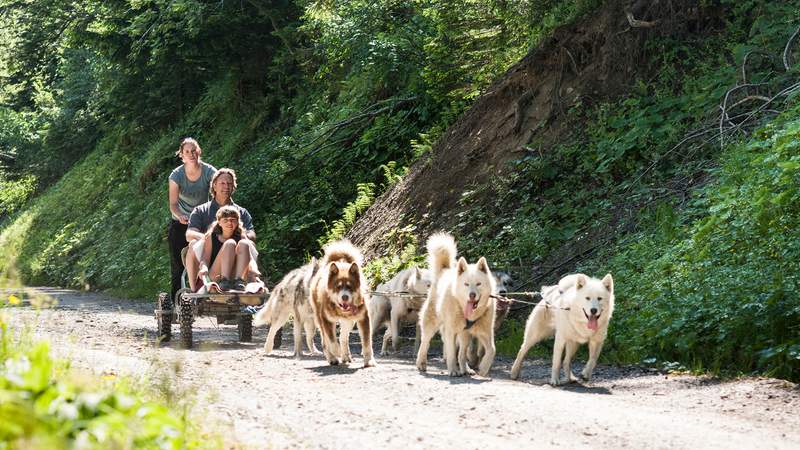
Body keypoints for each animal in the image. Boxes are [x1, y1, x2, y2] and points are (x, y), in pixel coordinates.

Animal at [416, 234, 496, 378]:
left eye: (478, 283)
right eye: (466, 284)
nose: (472, 295)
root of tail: (444, 269)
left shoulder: (485, 332)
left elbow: (492, 349)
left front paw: (483, 369)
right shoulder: (451, 331)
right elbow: (452, 352)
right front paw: (453, 370)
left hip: (465, 334)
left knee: (462, 353)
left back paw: (466, 369)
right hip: (432, 323)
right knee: (425, 342)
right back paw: (421, 363)